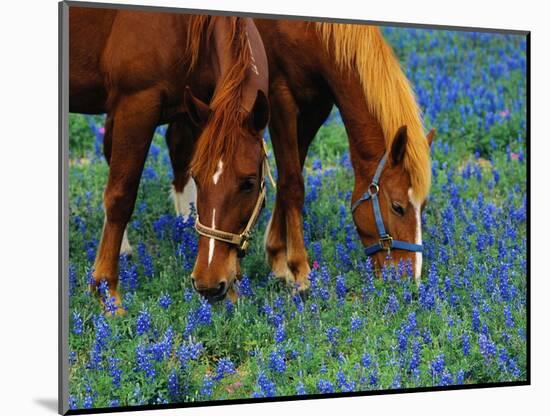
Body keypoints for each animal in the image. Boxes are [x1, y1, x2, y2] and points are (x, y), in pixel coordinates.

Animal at [70, 8, 270, 310]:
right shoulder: (136, 105)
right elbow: (120, 195)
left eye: (249, 183)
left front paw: (235, 287)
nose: (209, 284)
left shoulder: (197, 110)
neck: (183, 24)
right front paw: (105, 290)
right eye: (199, 178)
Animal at [168, 19, 436, 292]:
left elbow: (292, 171)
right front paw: (299, 269)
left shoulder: (316, 104)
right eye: (398, 207)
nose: (410, 280)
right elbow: (293, 183)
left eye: (423, 207)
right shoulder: (279, 96)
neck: (313, 29)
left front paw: (277, 255)